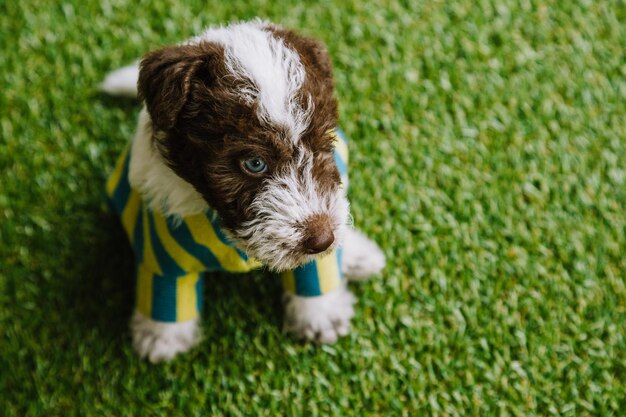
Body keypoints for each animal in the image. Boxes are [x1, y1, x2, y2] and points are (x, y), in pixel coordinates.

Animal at [100, 20, 382, 360]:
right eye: (254, 163)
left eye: (322, 145)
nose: (322, 240)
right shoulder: (162, 250)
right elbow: (166, 298)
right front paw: (161, 337)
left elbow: (315, 275)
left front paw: (320, 313)